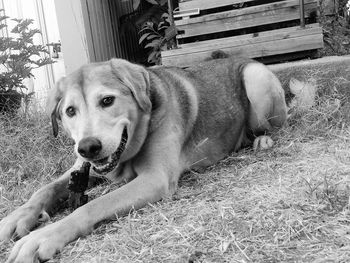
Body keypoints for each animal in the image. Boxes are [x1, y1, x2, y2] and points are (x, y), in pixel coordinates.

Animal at [0, 52, 290, 262]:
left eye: (107, 101)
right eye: (70, 111)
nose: (88, 147)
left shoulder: (154, 178)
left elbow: (92, 205)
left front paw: (43, 237)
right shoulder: (81, 169)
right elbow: (43, 190)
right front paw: (15, 219)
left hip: (255, 80)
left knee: (275, 124)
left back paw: (261, 140)